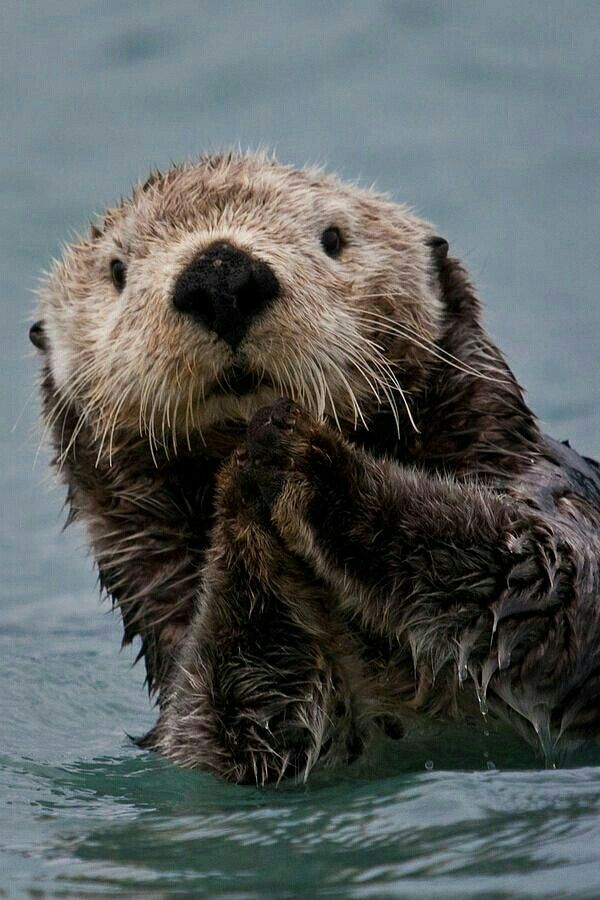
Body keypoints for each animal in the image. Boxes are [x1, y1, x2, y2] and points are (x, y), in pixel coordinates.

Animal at [31, 153, 600, 780]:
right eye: (117, 270)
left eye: (332, 238)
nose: (220, 277)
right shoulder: (203, 707)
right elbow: (236, 726)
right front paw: (244, 492)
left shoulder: (554, 500)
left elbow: (551, 574)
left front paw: (295, 446)